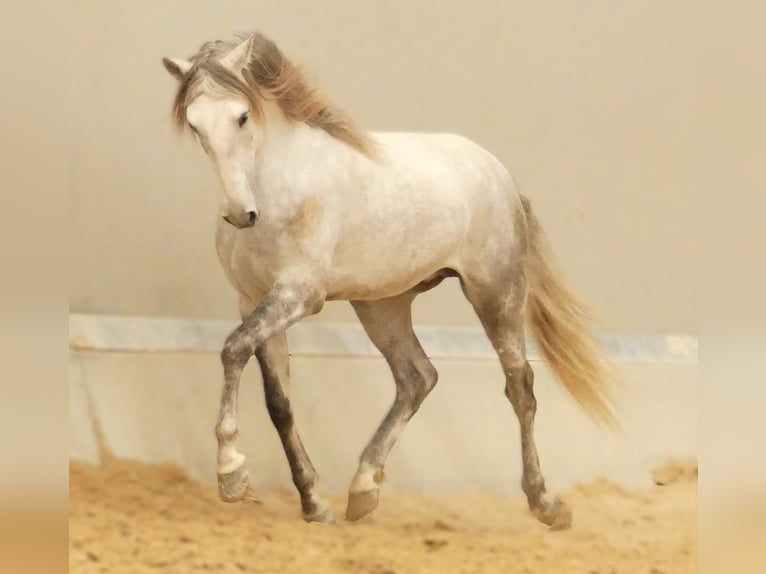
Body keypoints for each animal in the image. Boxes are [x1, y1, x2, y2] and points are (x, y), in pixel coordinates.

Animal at [162, 31, 616, 532]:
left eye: (242, 116)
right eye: (195, 125)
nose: (240, 214)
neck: (279, 191)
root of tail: (501, 176)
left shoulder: (298, 296)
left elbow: (232, 349)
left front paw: (231, 474)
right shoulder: (253, 301)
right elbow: (278, 401)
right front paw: (313, 504)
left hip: (495, 292)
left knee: (520, 387)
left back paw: (546, 504)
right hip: (383, 305)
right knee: (417, 378)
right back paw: (362, 491)